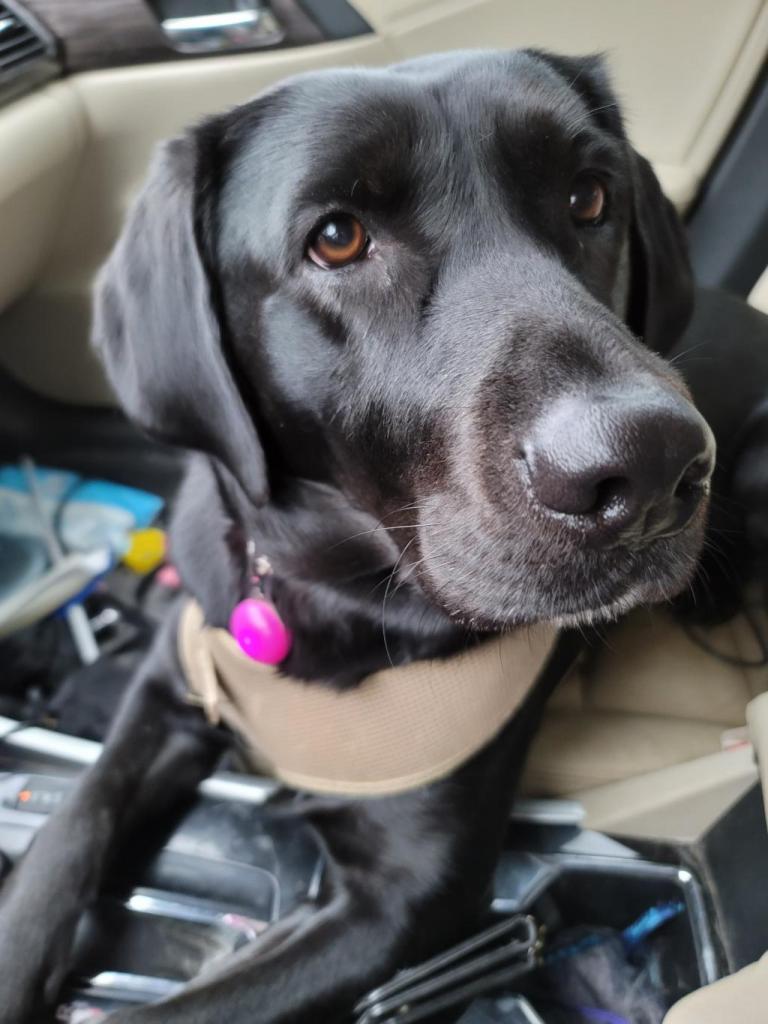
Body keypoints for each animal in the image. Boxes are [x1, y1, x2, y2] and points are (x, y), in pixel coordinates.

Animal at [0, 49, 729, 1022]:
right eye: (338, 238)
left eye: (588, 198)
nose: (649, 466)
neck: (325, 591)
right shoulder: (169, 686)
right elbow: (73, 823)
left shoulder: (401, 902)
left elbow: (188, 1009)